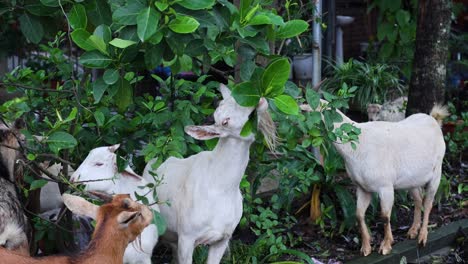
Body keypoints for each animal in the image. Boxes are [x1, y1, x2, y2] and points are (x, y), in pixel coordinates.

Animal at [302, 100, 448, 256]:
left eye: (308, 111)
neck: (357, 146)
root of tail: (434, 119)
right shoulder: (362, 188)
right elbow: (359, 215)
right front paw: (366, 248)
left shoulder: (386, 187)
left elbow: (385, 216)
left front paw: (386, 246)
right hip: (412, 180)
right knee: (418, 199)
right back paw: (413, 231)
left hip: (437, 172)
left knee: (428, 203)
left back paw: (422, 238)